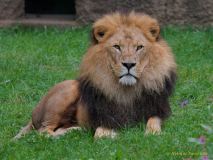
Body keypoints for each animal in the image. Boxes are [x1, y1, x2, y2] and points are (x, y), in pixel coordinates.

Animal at [14, 11, 176, 139]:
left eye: (139, 47)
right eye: (117, 47)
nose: (129, 64)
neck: (127, 91)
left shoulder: (157, 110)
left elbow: (153, 122)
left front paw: (152, 134)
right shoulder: (105, 116)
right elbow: (99, 134)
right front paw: (109, 135)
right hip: (69, 89)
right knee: (43, 132)